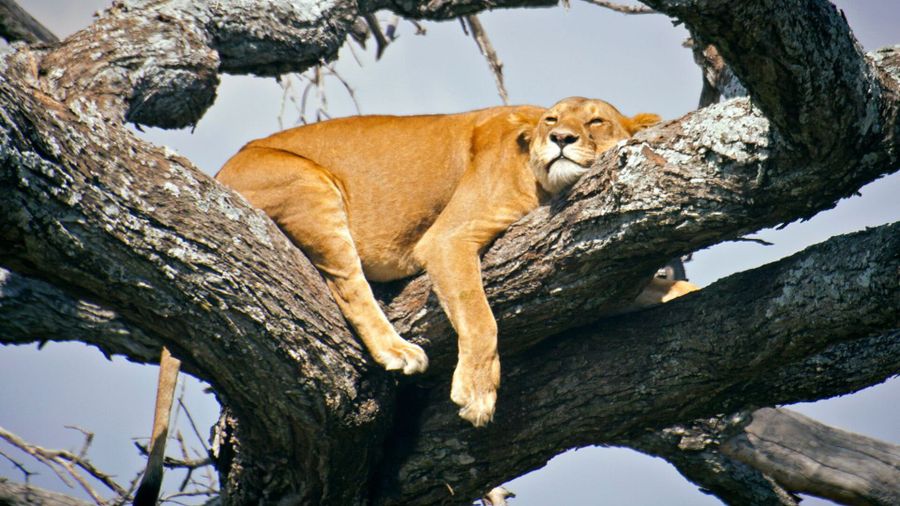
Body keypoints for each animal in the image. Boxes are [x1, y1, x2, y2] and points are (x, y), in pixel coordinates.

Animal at [134, 97, 696, 504]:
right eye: (553, 120)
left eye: (596, 120)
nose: (560, 139)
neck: (546, 185)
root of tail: (216, 176)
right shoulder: (447, 240)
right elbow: (481, 317)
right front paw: (477, 393)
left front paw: (686, 291)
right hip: (310, 186)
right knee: (348, 284)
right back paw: (397, 350)